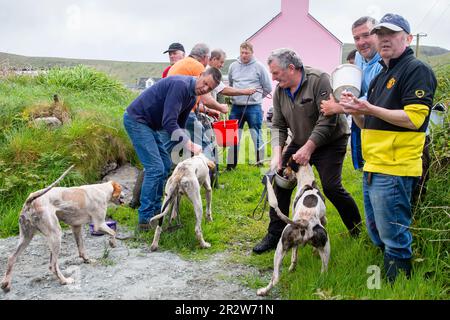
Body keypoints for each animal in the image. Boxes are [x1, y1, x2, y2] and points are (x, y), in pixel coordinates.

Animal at [258, 164, 328, 296]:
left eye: (287, 166)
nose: (283, 170)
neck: (307, 181)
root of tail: (305, 223)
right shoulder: (324, 220)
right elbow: (296, 255)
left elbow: (294, 255)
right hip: (324, 247)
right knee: (323, 271)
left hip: (280, 249)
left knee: (276, 278)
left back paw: (263, 291)